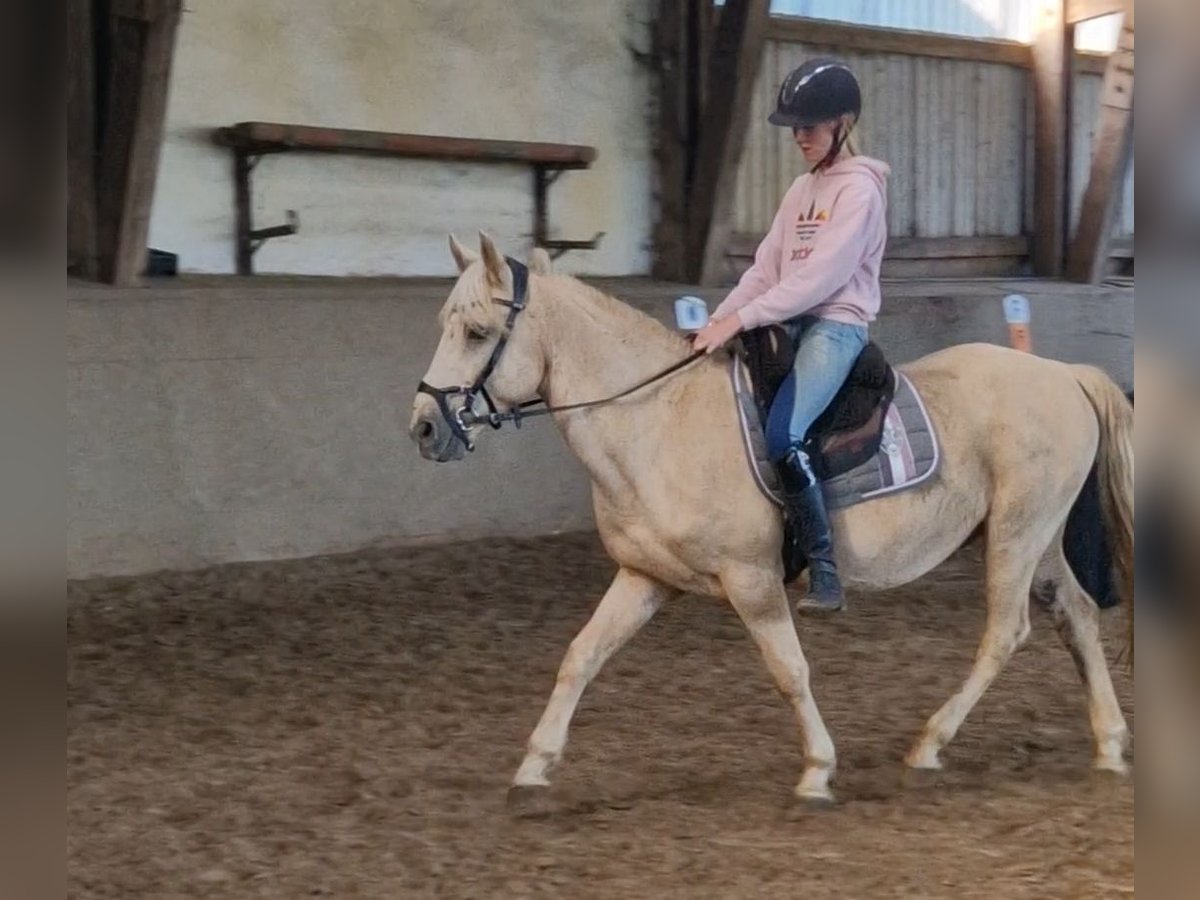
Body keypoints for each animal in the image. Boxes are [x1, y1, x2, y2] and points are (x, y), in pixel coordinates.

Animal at [412, 234, 1132, 811]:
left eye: (476, 332)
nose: (424, 428)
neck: (658, 418)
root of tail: (1064, 375)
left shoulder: (752, 582)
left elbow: (790, 670)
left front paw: (817, 771)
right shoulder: (644, 576)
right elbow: (579, 657)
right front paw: (534, 768)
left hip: (1015, 534)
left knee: (1005, 633)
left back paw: (931, 743)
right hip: (1036, 538)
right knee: (1076, 615)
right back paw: (1109, 743)